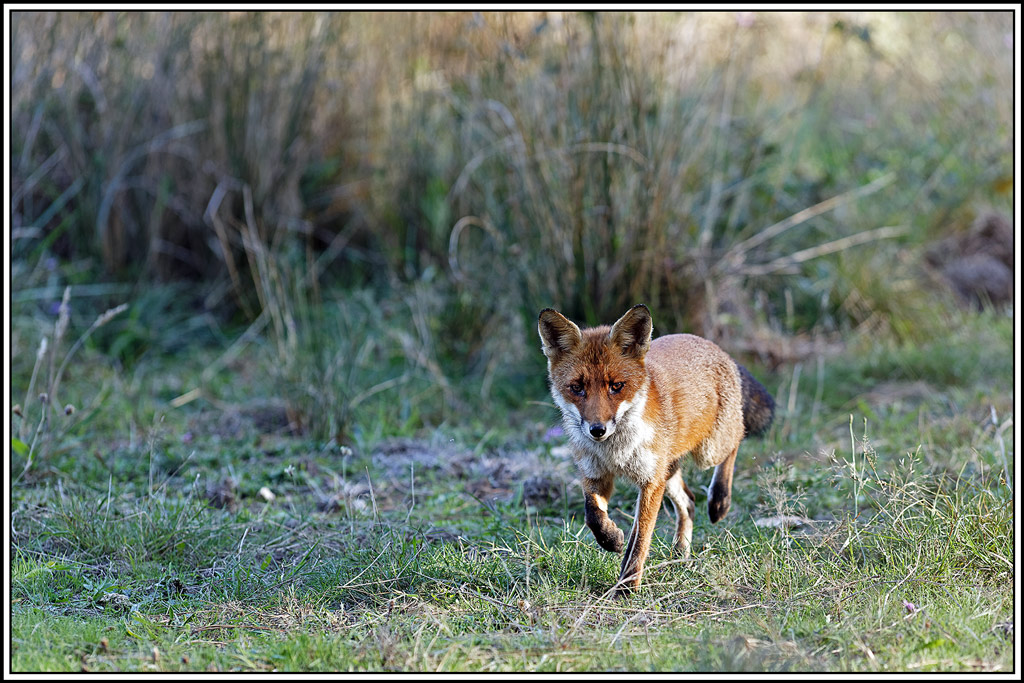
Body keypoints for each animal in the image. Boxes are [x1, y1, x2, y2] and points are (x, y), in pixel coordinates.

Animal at [538, 304, 775, 597]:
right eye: (577, 388)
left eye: (616, 386)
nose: (597, 430)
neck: (616, 453)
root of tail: (714, 347)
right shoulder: (596, 476)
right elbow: (592, 515)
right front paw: (611, 539)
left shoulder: (650, 482)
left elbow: (640, 539)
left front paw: (627, 588)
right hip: (668, 472)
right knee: (689, 502)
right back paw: (681, 552)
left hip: (707, 452)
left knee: (736, 441)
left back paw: (720, 500)